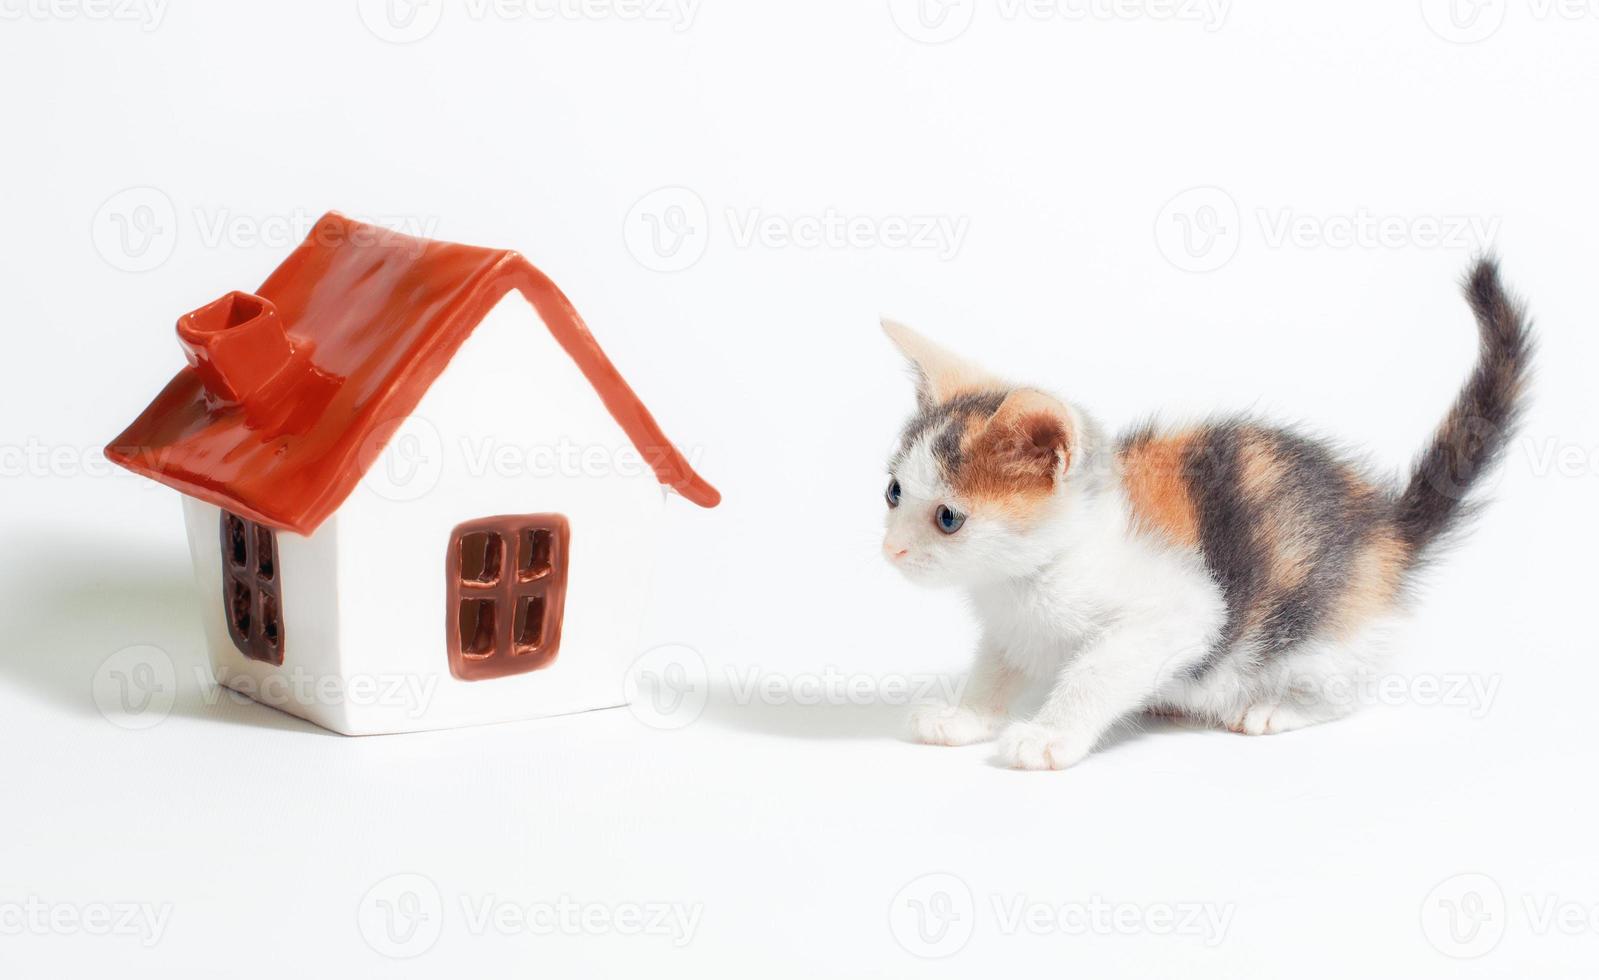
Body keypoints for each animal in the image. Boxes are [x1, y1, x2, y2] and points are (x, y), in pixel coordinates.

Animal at [882, 260, 1528, 770]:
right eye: (892, 492)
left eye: (948, 517)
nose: (891, 550)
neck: (1026, 579)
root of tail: (1387, 528)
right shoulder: (1009, 630)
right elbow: (993, 670)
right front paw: (964, 718)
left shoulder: (1177, 612)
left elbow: (1095, 673)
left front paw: (1048, 737)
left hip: (1323, 631)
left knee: (1345, 691)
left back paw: (1274, 709)